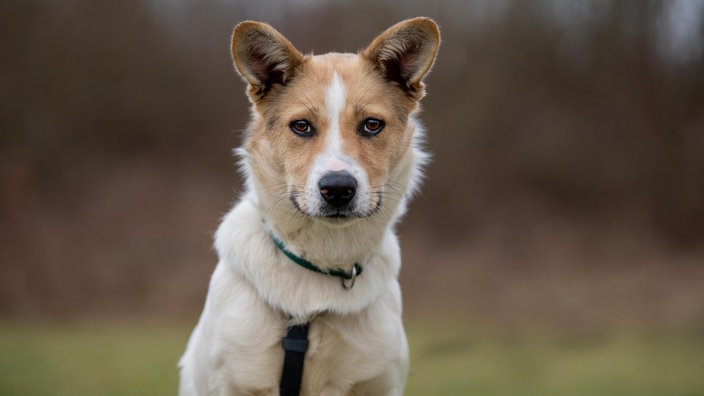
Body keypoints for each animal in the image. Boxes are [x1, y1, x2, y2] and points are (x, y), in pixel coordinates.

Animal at [177, 17, 440, 394]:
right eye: (301, 126)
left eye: (372, 125)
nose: (338, 189)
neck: (322, 261)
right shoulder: (228, 381)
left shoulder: (377, 381)